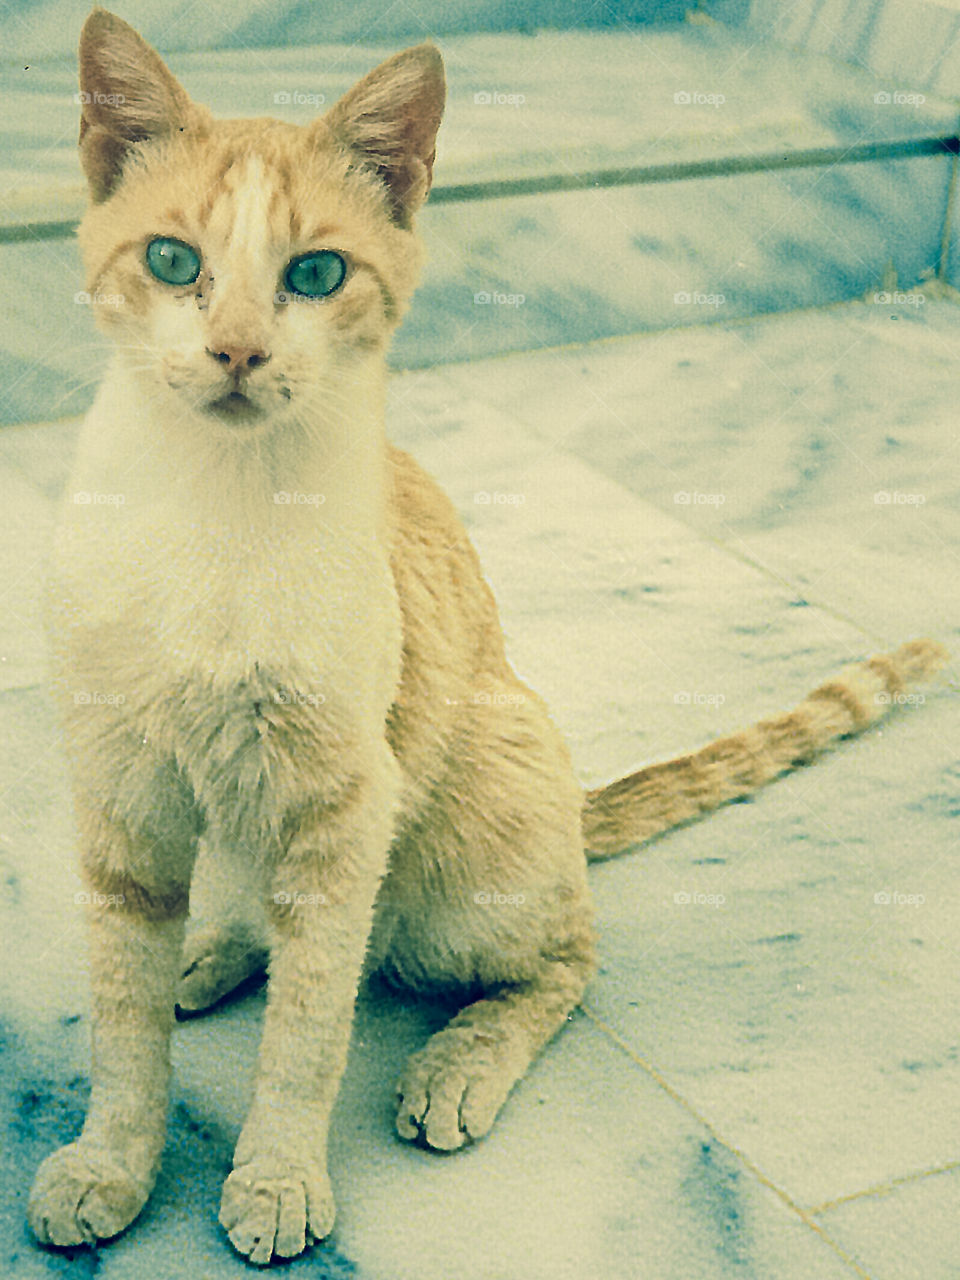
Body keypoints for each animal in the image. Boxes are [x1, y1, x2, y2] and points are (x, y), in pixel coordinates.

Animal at [26, 7, 952, 1269]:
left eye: (315, 273)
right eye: (174, 262)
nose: (236, 352)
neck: (216, 501)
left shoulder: (343, 804)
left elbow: (309, 1028)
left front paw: (276, 1176)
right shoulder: (123, 786)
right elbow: (124, 1025)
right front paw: (111, 1162)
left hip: (474, 839)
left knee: (556, 957)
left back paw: (453, 1065)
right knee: (260, 916)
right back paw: (210, 951)